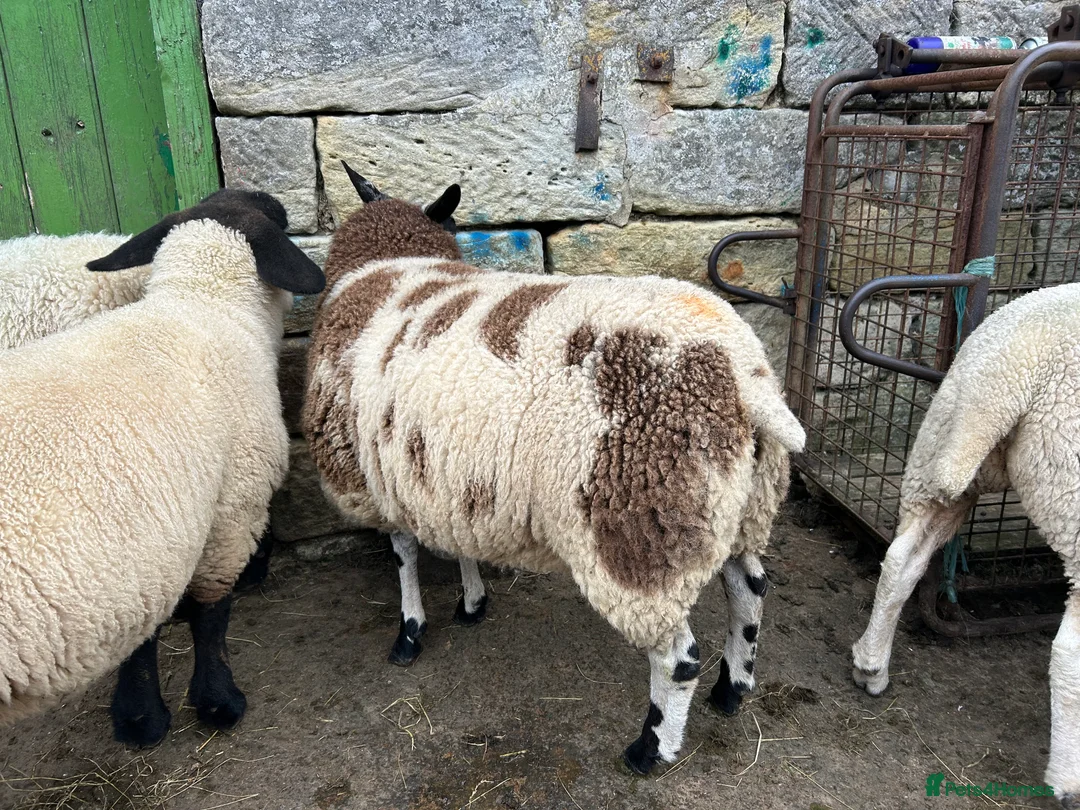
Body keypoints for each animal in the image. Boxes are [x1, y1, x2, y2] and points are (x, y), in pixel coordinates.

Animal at [0, 189, 325, 746]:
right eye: (281, 221)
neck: (201, 303)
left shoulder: (146, 552)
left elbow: (142, 632)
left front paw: (137, 718)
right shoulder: (231, 508)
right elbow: (211, 613)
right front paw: (216, 701)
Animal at [301, 165, 806, 775]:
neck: (387, 263)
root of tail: (748, 380)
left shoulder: (375, 478)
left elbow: (402, 555)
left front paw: (409, 634)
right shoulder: (449, 475)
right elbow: (458, 542)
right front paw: (472, 602)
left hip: (637, 531)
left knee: (678, 656)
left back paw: (650, 749)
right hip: (729, 509)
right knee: (750, 590)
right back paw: (732, 688)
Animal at [851, 282, 1080, 804]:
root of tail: (1007, 372)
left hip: (945, 446)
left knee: (901, 560)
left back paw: (871, 666)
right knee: (1070, 651)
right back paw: (1065, 781)